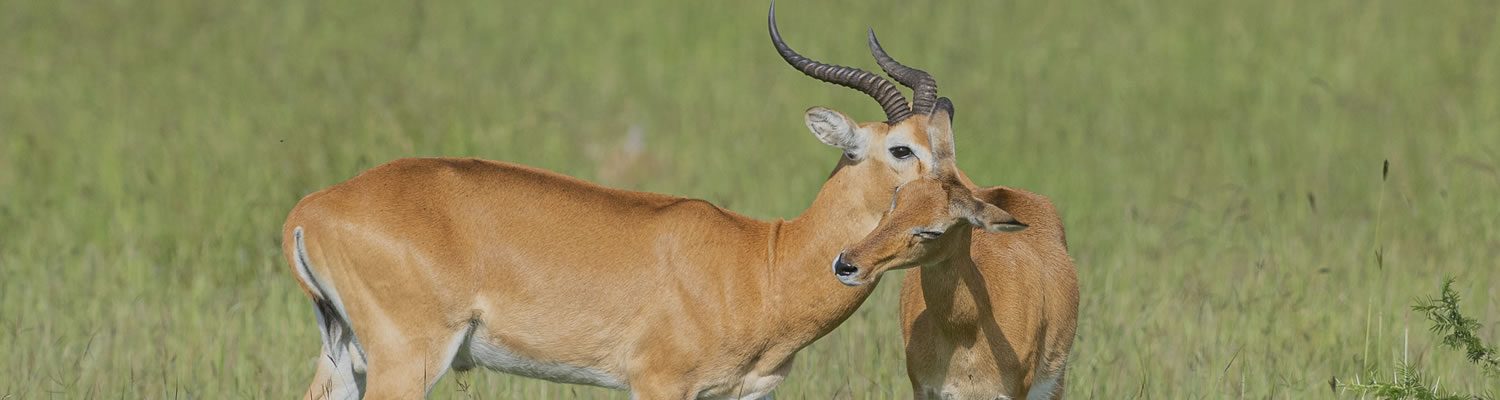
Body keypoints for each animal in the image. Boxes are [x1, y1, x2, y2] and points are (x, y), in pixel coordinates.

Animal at [282, 3, 978, 400]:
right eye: (901, 150)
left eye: (945, 144)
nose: (966, 208)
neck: (763, 261)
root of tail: (309, 211)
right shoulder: (659, 384)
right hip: (407, 360)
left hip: (346, 360)